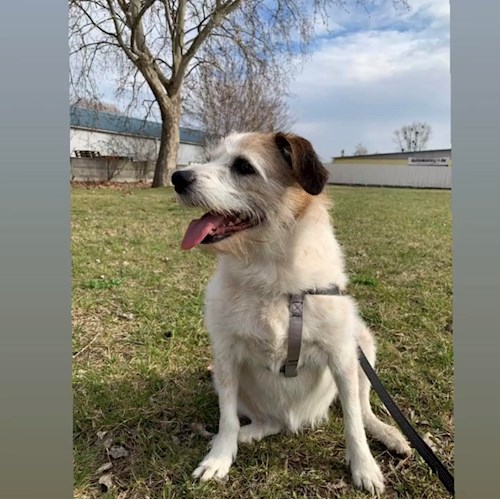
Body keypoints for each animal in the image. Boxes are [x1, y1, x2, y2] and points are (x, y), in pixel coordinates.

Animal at [171, 132, 411, 495]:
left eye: (243, 166)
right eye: (211, 158)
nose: (177, 177)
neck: (272, 273)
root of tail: (294, 421)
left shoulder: (342, 355)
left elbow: (353, 422)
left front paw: (364, 466)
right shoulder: (225, 357)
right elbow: (226, 419)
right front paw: (219, 457)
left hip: (363, 348)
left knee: (363, 408)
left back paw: (389, 434)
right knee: (266, 422)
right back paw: (248, 433)